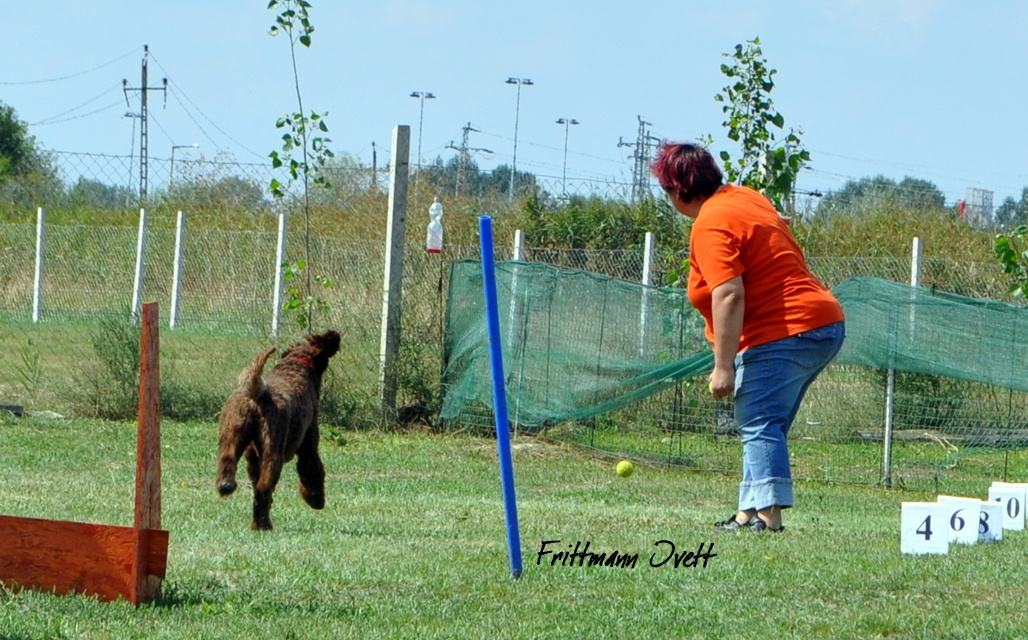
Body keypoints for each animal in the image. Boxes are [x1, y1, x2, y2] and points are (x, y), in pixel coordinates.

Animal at [214, 330, 343, 530]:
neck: (296, 367)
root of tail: (255, 391)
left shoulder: (252, 457)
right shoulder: (308, 445)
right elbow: (312, 470)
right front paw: (315, 498)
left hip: (232, 436)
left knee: (229, 465)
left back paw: (228, 487)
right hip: (273, 451)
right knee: (263, 489)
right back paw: (263, 525)